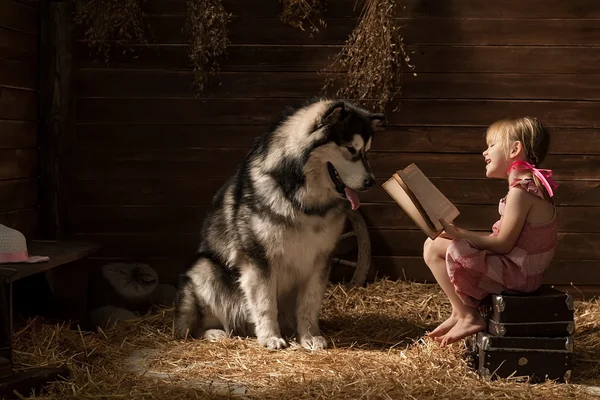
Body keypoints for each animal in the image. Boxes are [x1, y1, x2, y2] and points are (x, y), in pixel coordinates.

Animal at [175, 99, 384, 350]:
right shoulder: (259, 260)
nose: (371, 182)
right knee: (191, 328)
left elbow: (309, 303)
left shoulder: (320, 258)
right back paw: (214, 332)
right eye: (351, 149)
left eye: (367, 151)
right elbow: (266, 303)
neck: (303, 202)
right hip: (204, 270)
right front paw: (270, 337)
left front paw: (309, 336)